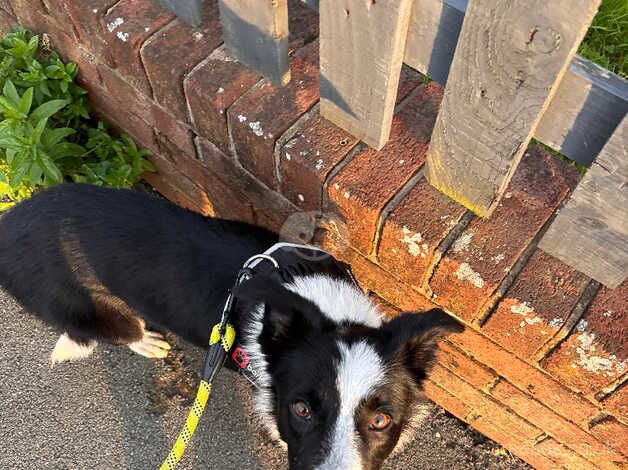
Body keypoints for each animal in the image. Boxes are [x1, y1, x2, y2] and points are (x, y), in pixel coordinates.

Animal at [0, 185, 462, 470]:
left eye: (381, 420)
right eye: (301, 409)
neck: (324, 306)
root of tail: (10, 224)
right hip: (95, 309)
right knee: (119, 330)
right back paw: (147, 342)